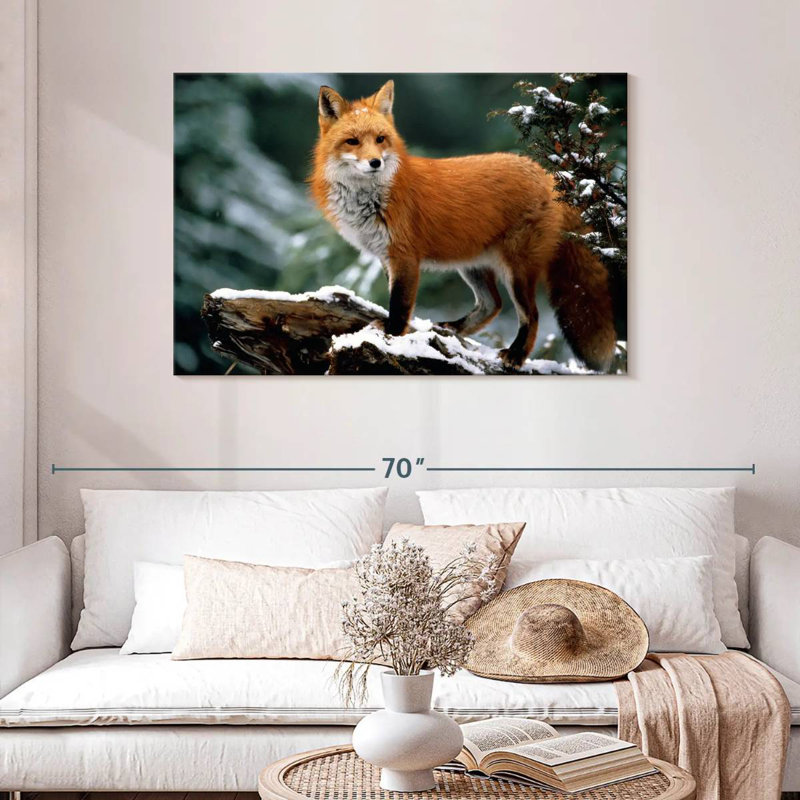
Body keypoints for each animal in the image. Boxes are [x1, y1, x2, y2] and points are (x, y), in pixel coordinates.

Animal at [310, 80, 617, 371]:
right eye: (352, 141)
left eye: (380, 139)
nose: (375, 162)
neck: (371, 198)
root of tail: (549, 175)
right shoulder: (386, 256)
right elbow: (395, 301)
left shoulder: (405, 256)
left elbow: (400, 305)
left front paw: (392, 337)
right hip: (472, 265)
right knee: (492, 304)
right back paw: (453, 329)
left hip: (517, 270)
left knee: (531, 314)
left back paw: (516, 355)